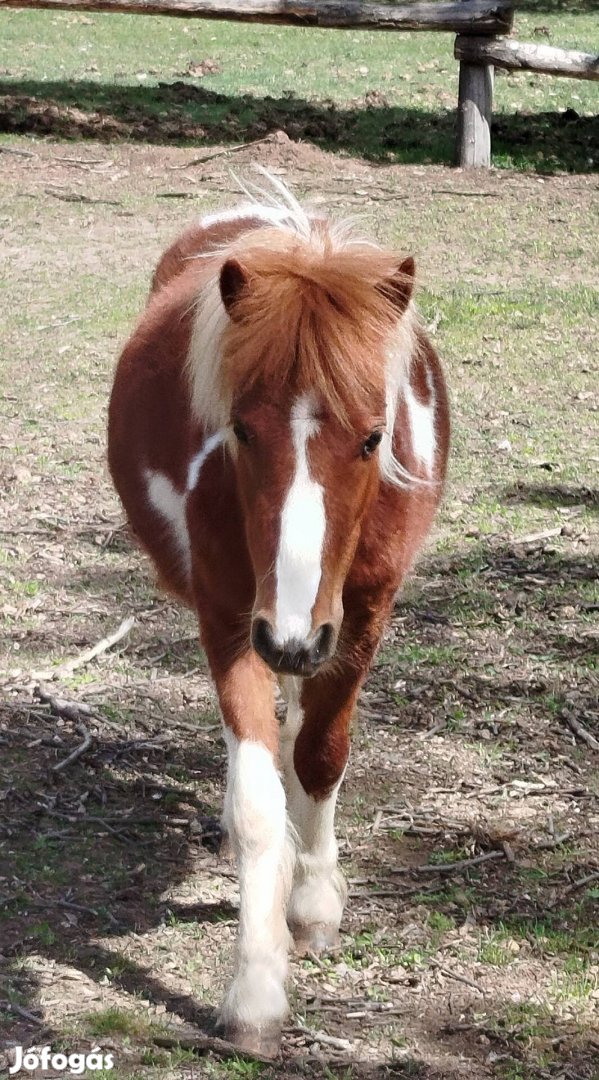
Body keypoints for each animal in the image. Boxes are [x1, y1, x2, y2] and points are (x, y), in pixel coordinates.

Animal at [109, 181, 448, 1058]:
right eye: (239, 427)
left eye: (372, 437)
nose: (292, 637)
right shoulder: (233, 620)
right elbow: (260, 798)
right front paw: (256, 991)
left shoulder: (360, 614)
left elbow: (320, 756)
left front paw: (315, 902)